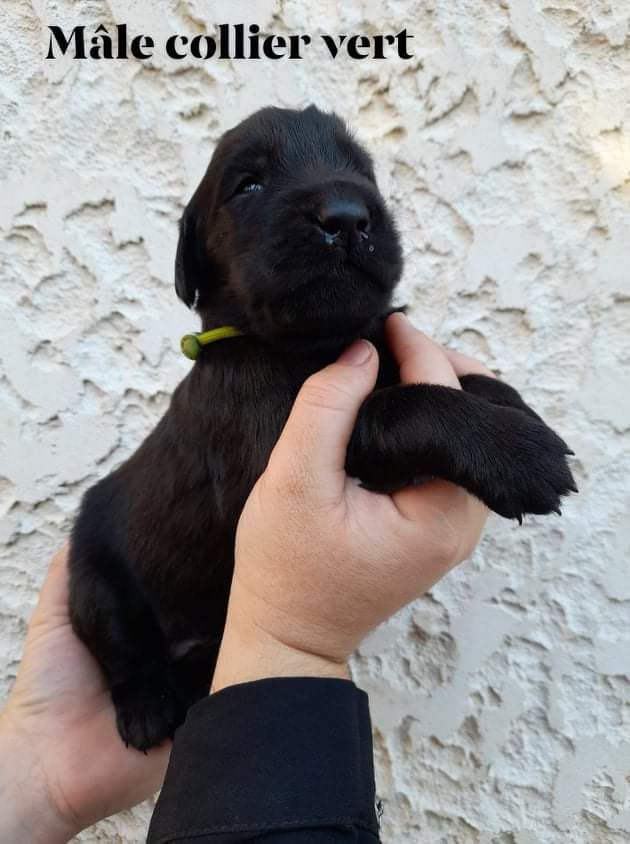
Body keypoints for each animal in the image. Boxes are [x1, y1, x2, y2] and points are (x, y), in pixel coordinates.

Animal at [68, 105, 576, 752]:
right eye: (249, 185)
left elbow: (460, 379)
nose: (347, 216)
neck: (315, 344)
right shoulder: (273, 443)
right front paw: (519, 455)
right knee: (119, 649)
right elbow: (403, 406)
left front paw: (520, 412)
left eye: (360, 171)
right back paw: (147, 708)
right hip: (92, 577)